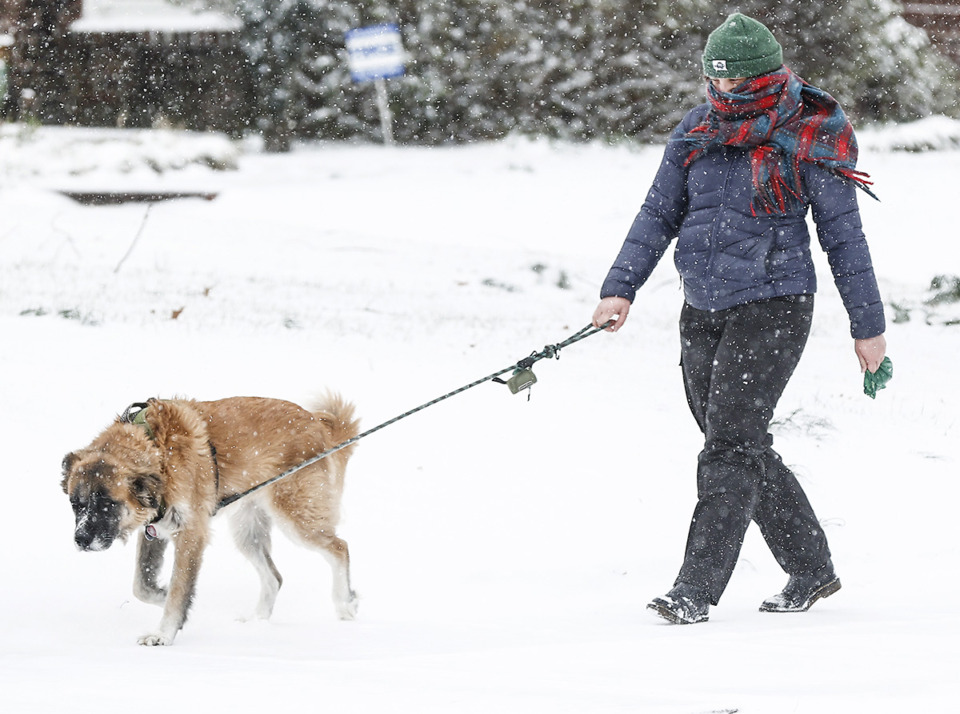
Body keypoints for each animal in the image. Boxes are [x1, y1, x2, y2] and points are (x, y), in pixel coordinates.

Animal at [61, 394, 360, 644]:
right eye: (76, 504)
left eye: (108, 504)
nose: (81, 540)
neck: (159, 451)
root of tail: (315, 422)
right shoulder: (155, 530)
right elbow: (141, 585)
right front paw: (162, 594)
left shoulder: (191, 533)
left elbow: (178, 587)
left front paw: (163, 633)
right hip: (247, 532)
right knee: (274, 578)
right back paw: (257, 623)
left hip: (296, 517)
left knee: (340, 547)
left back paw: (345, 604)